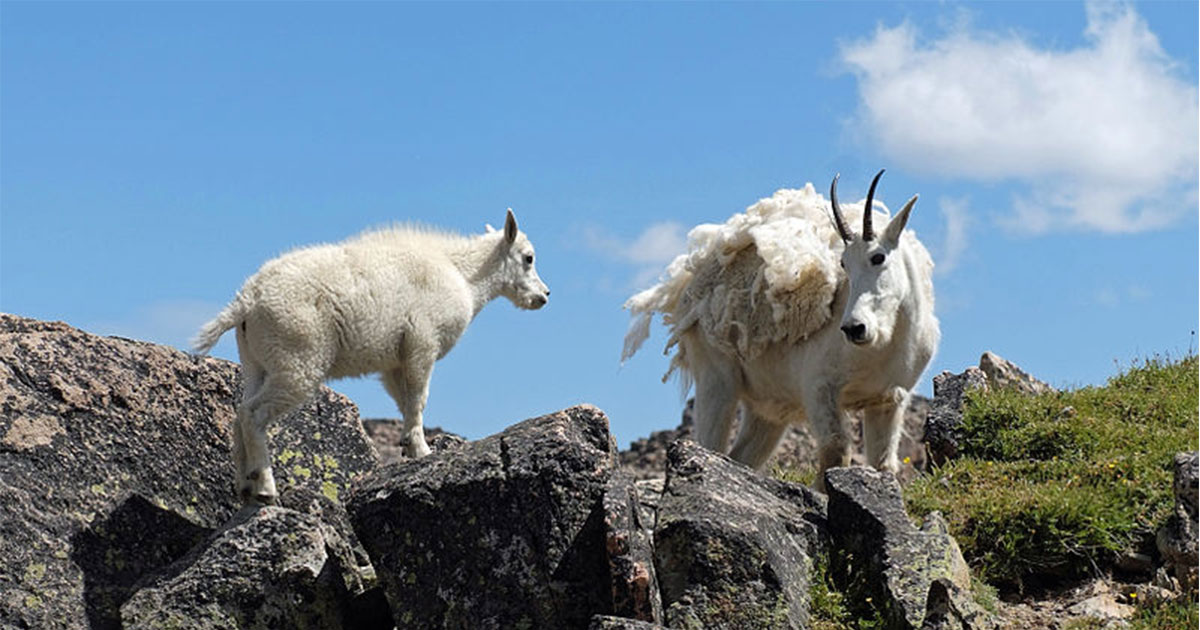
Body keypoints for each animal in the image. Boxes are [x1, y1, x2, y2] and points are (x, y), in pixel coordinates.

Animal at [193, 209, 550, 504]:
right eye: (528, 258)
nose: (544, 295)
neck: (464, 275)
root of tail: (246, 301)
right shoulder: (422, 343)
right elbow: (418, 398)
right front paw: (423, 450)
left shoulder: (395, 359)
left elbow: (404, 401)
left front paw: (408, 447)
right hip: (297, 359)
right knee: (254, 414)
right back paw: (265, 487)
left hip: (257, 361)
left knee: (240, 411)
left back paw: (245, 486)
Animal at [623, 171, 938, 487]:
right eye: (843, 263)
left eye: (878, 257)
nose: (854, 328)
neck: (881, 347)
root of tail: (685, 292)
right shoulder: (819, 388)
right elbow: (836, 451)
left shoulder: (888, 400)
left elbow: (884, 465)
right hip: (716, 377)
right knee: (710, 446)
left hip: (768, 409)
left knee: (740, 457)